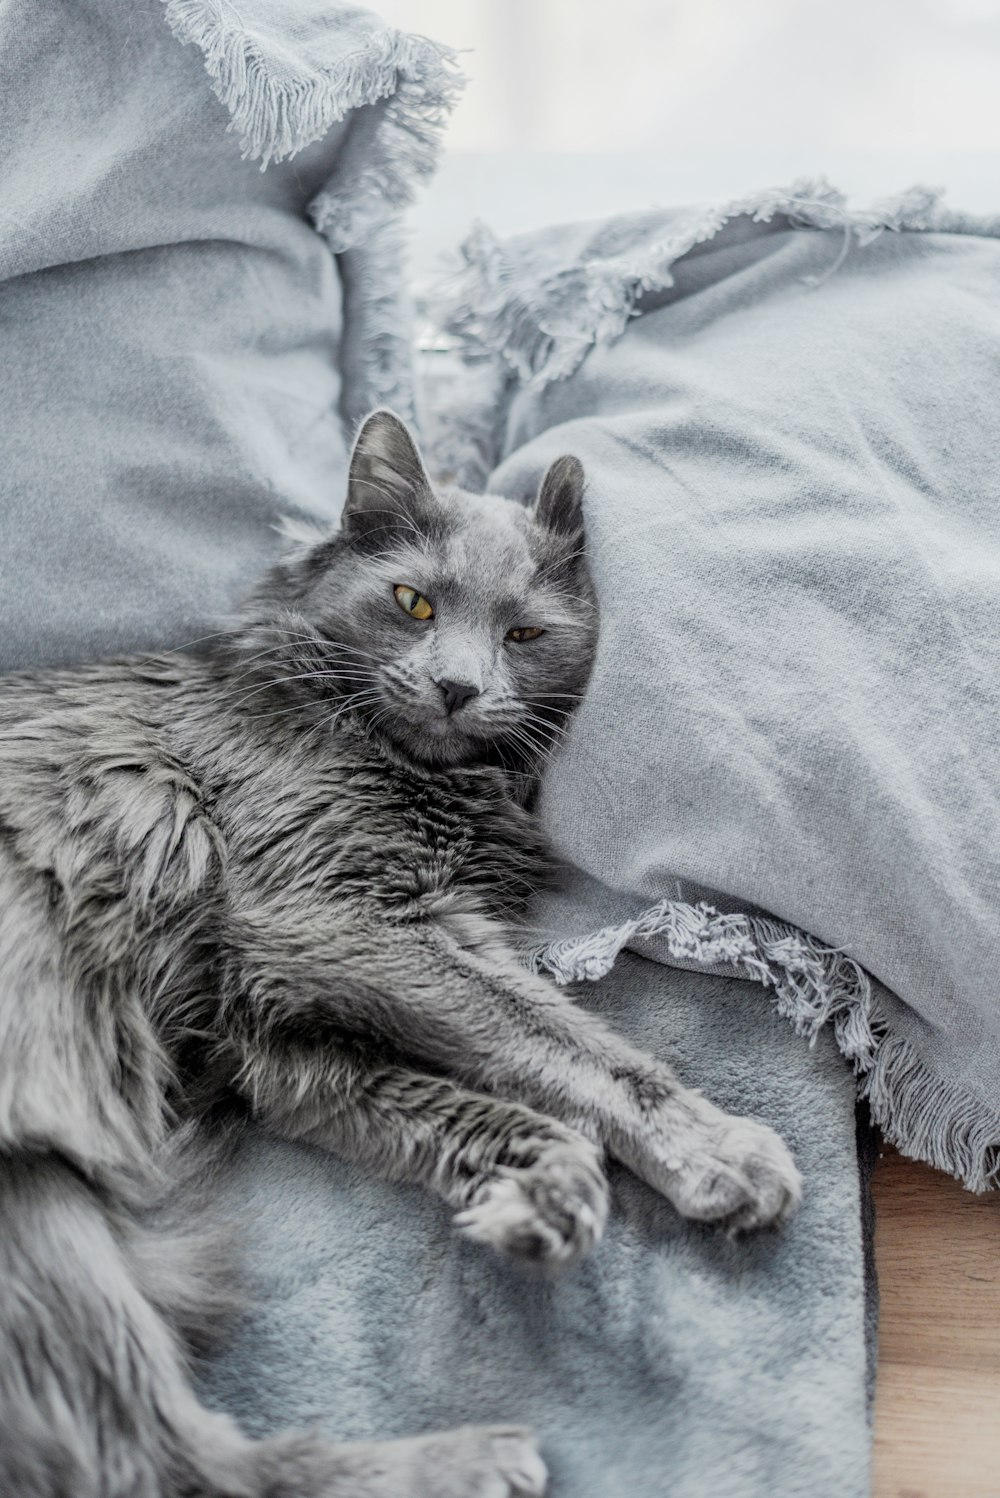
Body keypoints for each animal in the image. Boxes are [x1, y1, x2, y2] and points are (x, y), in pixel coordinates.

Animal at [0, 413, 796, 1498]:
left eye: (524, 634)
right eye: (413, 602)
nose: (458, 686)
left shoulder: (278, 1037)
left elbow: (483, 1100)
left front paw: (539, 1194)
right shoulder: (338, 914)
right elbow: (580, 1051)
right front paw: (718, 1150)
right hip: (37, 1201)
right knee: (163, 1462)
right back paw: (471, 1461)